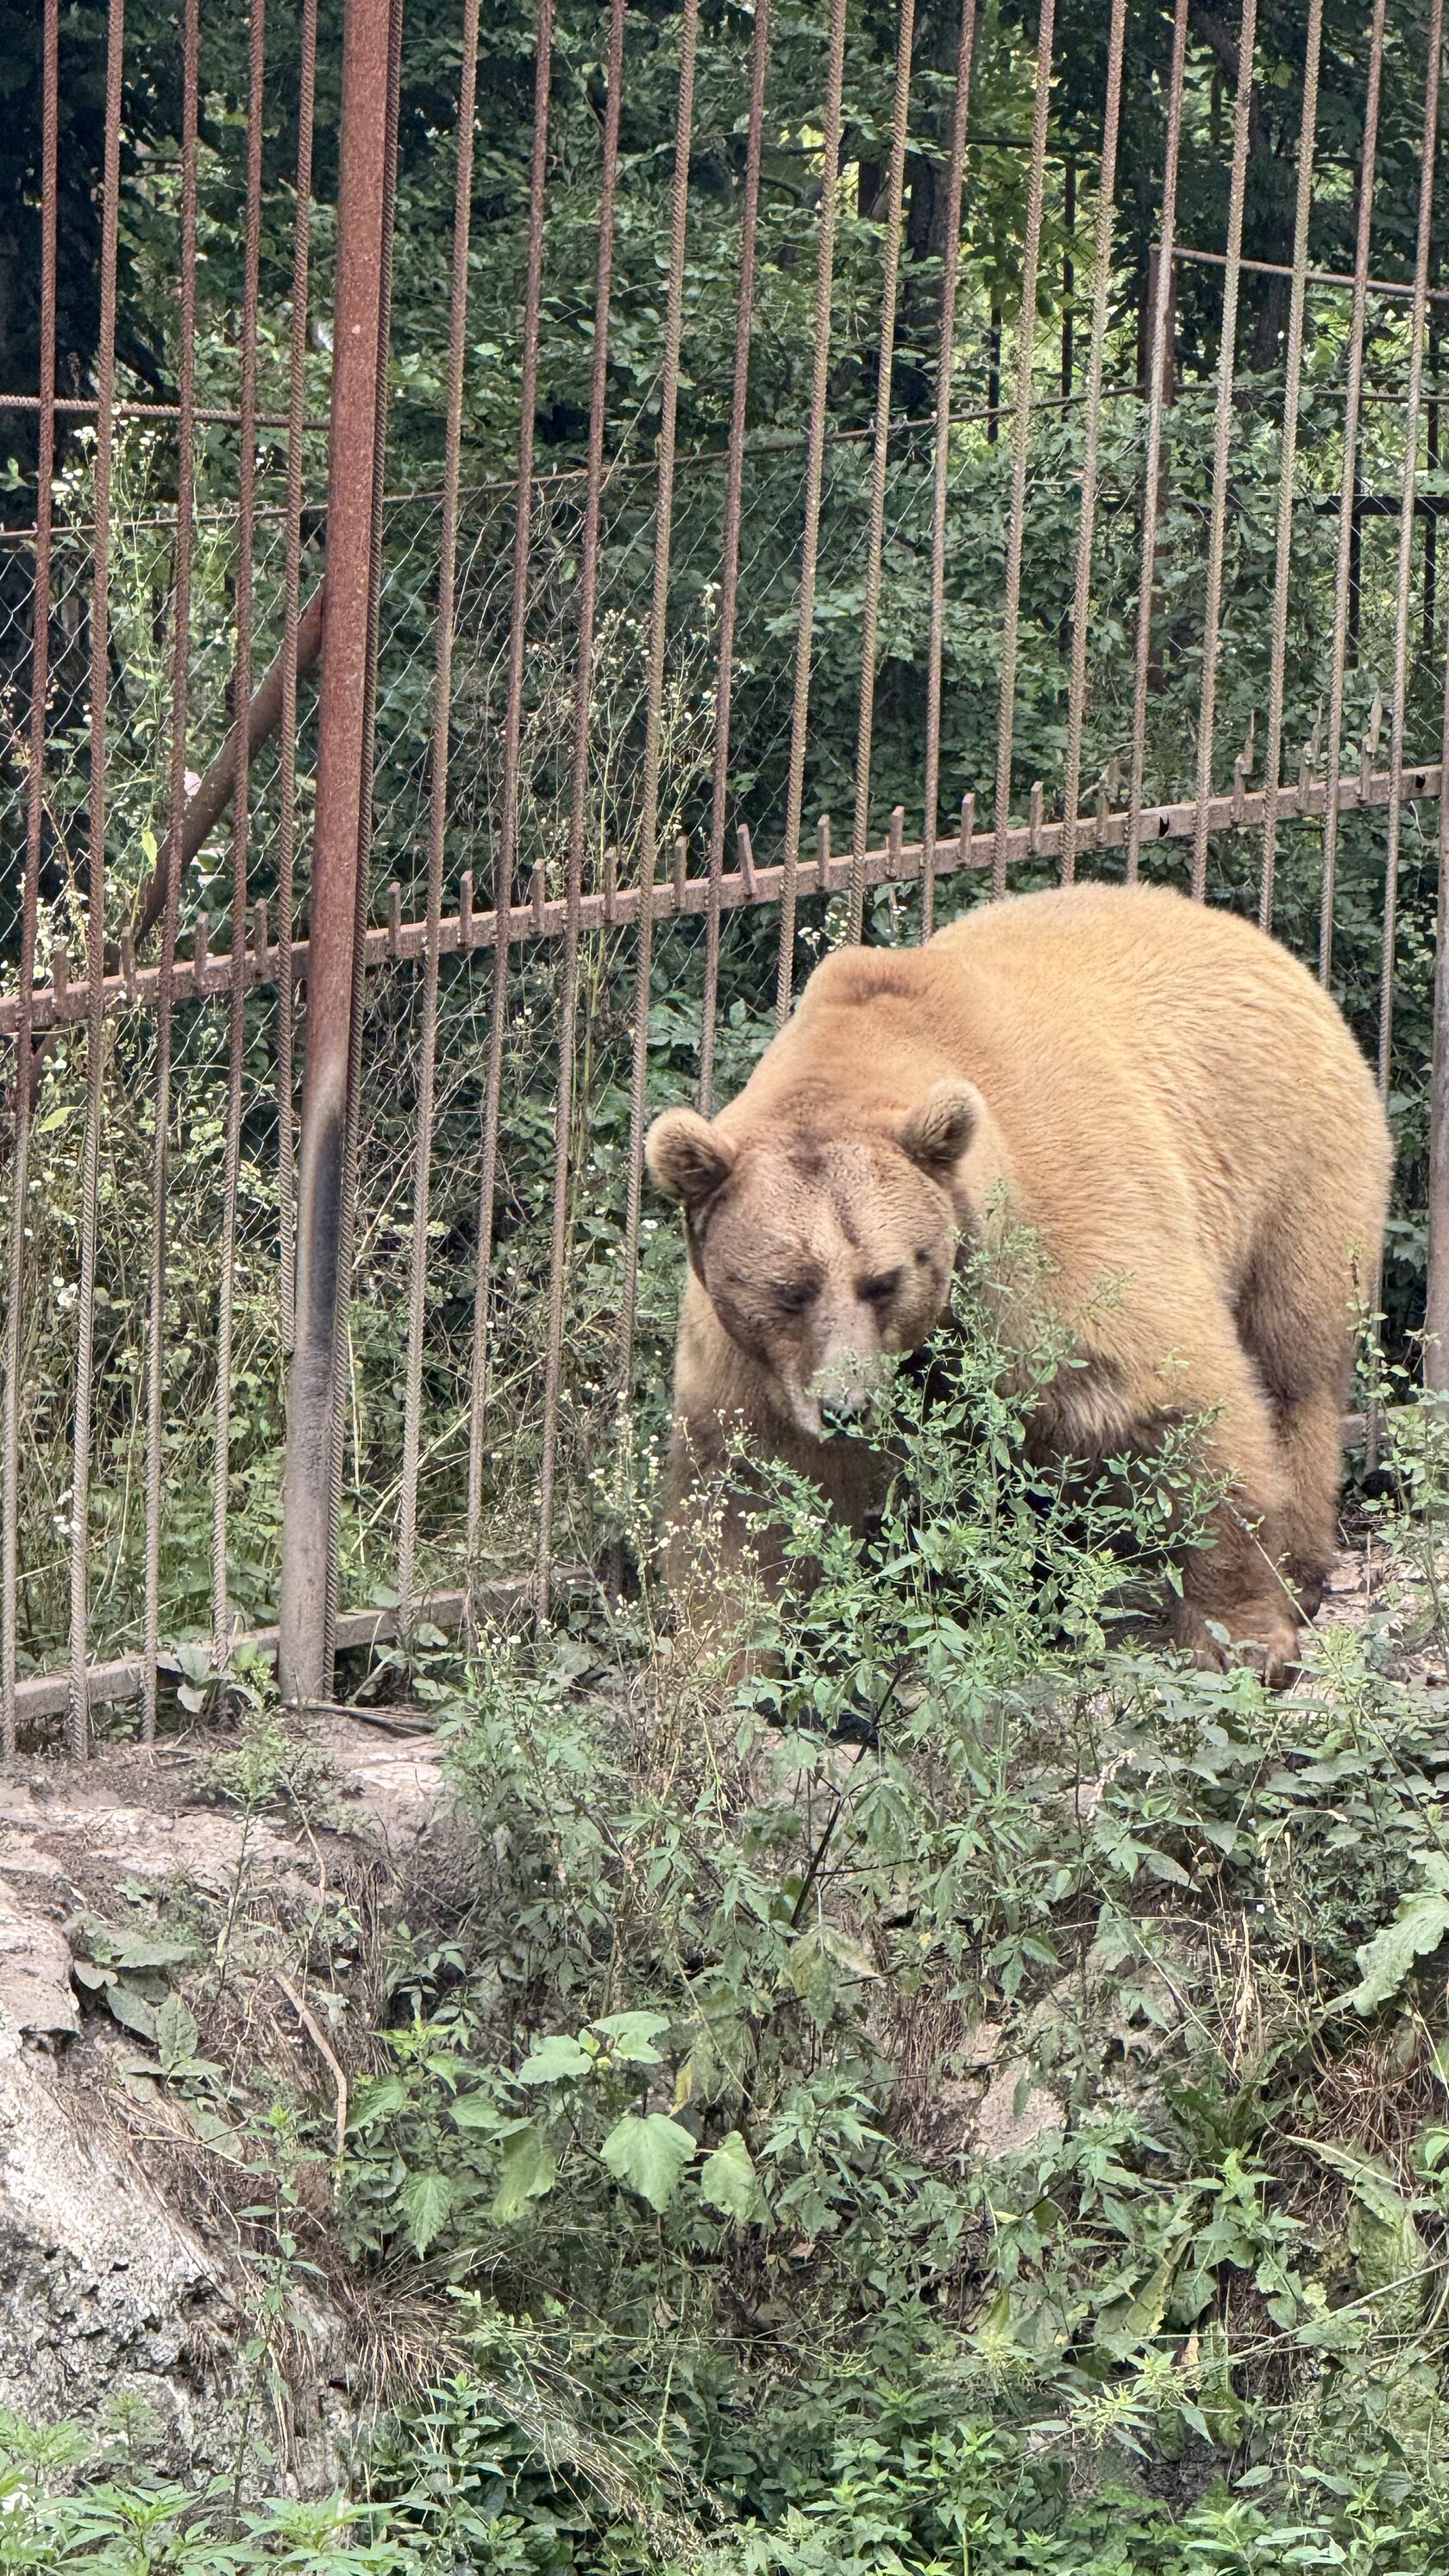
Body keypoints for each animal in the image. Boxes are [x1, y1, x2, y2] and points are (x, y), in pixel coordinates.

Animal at [644, 880, 1392, 1685]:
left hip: (1289, 1164)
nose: (849, 1408)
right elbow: (746, 1488)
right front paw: (717, 1660)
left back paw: (1302, 1565)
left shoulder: (1055, 1230)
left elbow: (1173, 1400)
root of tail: (1255, 938)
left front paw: (1244, 1636)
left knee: (1292, 1366)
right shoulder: (756, 1357)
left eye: (883, 1279)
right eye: (788, 1287)